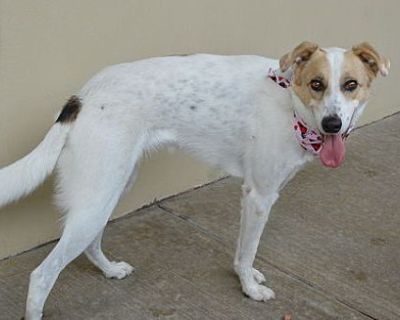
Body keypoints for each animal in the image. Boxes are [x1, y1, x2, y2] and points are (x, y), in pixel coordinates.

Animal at [0, 41, 390, 318]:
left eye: (351, 85)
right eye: (316, 84)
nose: (332, 125)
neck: (291, 104)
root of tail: (81, 97)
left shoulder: (255, 195)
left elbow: (242, 251)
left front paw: (248, 279)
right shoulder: (259, 196)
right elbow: (247, 251)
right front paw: (249, 289)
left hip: (111, 188)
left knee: (91, 242)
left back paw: (110, 271)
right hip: (98, 196)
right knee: (42, 276)